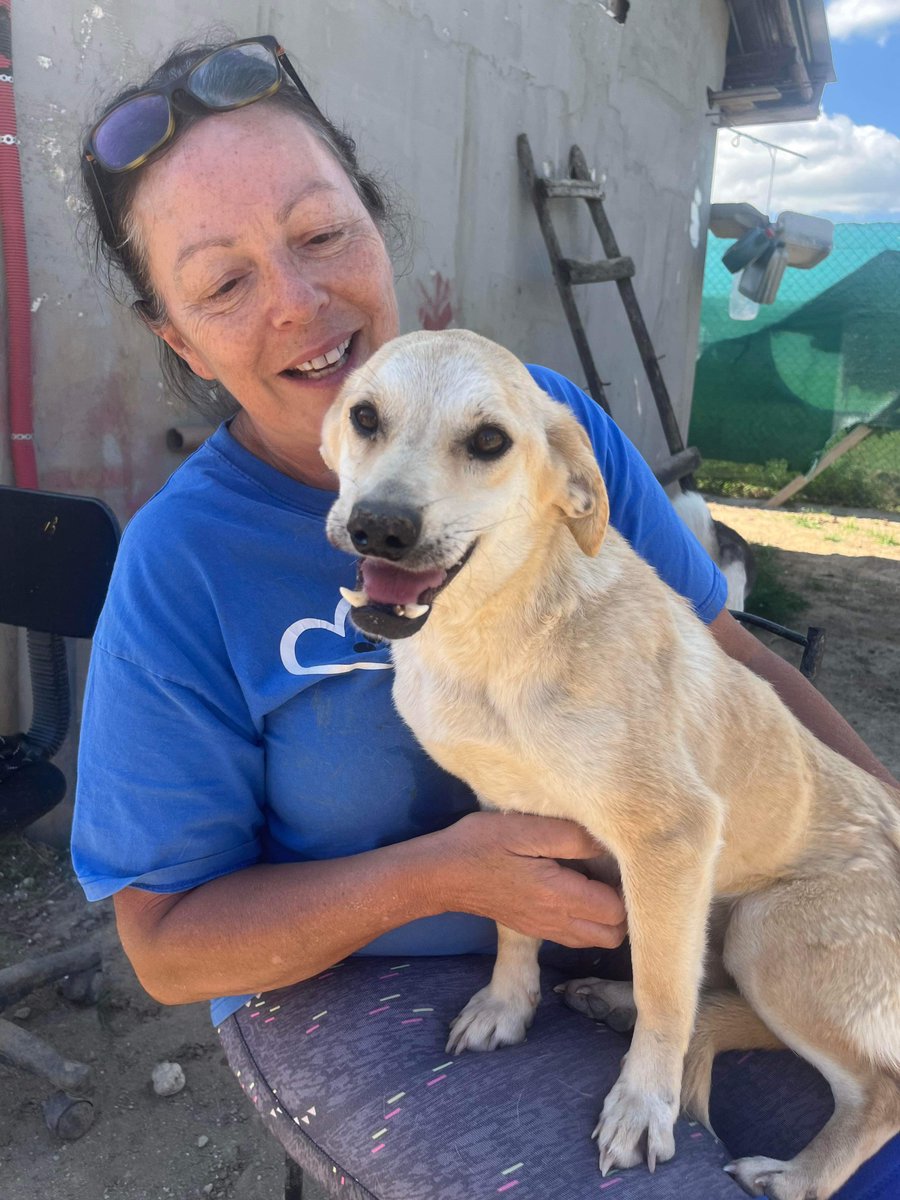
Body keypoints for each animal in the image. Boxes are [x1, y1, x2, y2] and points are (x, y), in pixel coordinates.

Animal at [321, 331, 897, 1200]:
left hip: (767, 930)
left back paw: (792, 1176)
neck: (490, 641)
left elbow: (666, 996)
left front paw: (642, 1106)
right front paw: (507, 1005)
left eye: (488, 441)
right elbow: (515, 922)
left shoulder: (669, 836)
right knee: (716, 997)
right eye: (364, 417)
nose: (378, 527)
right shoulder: (510, 815)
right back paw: (608, 998)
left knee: (876, 1087)